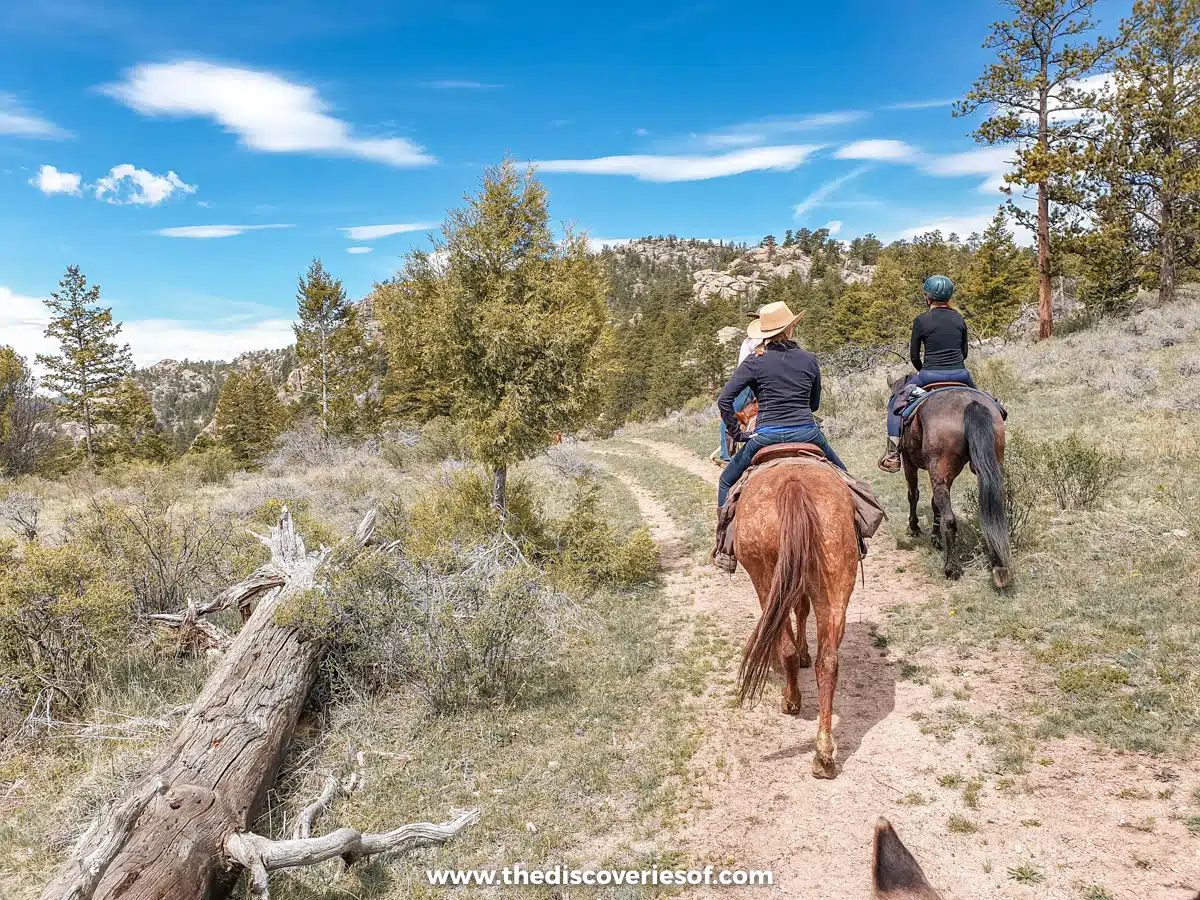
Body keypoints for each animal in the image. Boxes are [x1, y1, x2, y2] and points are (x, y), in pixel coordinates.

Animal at [734, 460, 859, 777]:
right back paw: (824, 754)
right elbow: (802, 610)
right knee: (828, 663)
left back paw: (791, 700)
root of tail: (794, 485)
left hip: (766, 579)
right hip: (835, 583)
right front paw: (805, 653)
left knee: (786, 646)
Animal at [892, 381, 1012, 588]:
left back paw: (950, 568)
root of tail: (972, 404)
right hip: (990, 465)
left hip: (938, 468)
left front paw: (914, 527)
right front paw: (935, 538)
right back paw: (998, 565)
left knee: (949, 519)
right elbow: (934, 504)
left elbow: (913, 494)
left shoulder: (909, 462)